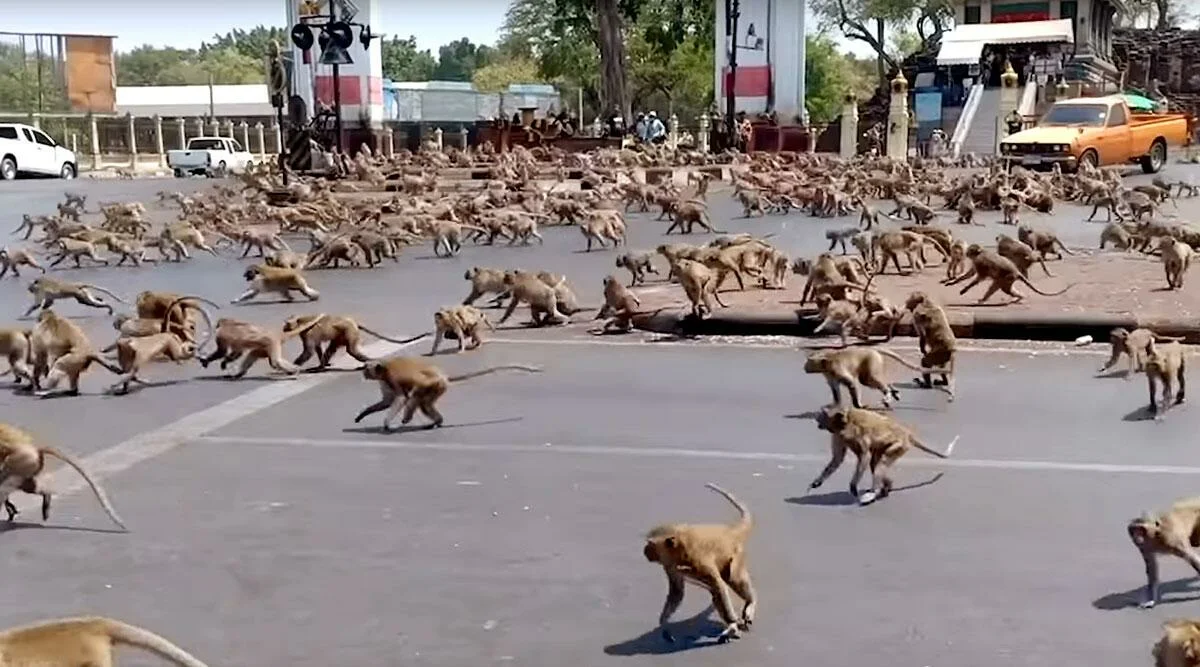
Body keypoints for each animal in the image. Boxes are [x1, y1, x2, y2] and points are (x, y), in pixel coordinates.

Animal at [350, 359, 540, 431]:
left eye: (366, 367)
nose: (363, 371)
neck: (383, 368)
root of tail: (443, 375)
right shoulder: (384, 382)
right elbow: (387, 401)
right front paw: (362, 415)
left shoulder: (392, 377)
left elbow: (400, 398)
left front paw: (387, 424)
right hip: (439, 387)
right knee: (424, 403)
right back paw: (437, 421)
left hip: (435, 384)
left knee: (417, 395)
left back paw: (409, 418)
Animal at [643, 482, 753, 643]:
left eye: (650, 544)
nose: (644, 550)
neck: (680, 550)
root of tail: (730, 531)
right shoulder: (669, 565)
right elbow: (677, 591)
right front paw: (663, 624)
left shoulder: (699, 561)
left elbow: (719, 585)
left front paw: (733, 621)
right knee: (716, 592)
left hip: (736, 554)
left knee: (732, 580)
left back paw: (747, 607)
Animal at [806, 405, 955, 506]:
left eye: (823, 414)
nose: (817, 417)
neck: (844, 422)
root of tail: (906, 433)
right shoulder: (838, 434)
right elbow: (837, 458)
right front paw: (817, 481)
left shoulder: (853, 432)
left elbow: (864, 456)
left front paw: (853, 486)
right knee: (875, 463)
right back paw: (886, 487)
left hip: (899, 444)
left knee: (880, 461)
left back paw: (874, 492)